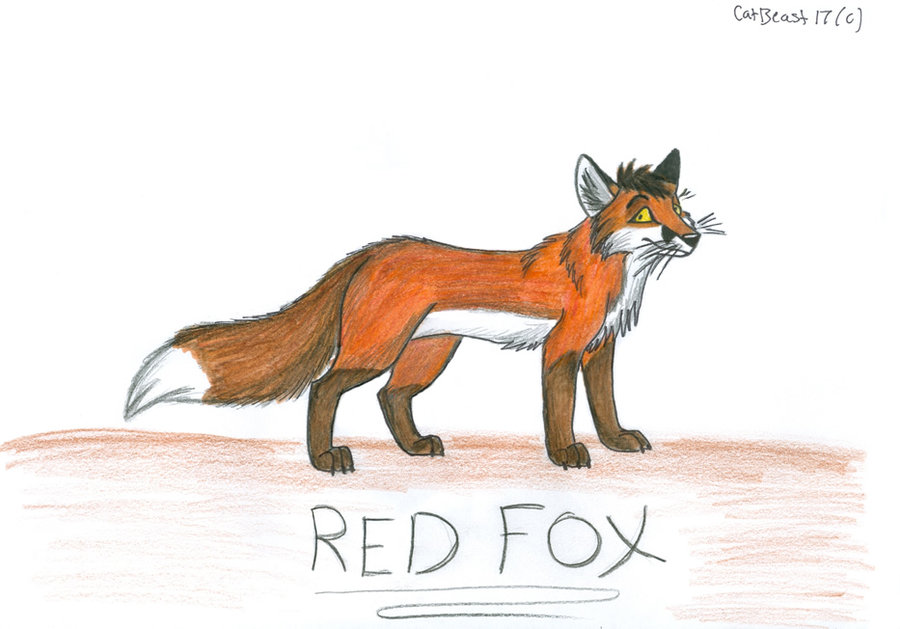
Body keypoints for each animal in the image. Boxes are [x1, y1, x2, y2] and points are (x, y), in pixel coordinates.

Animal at [125, 149, 722, 474]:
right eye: (643, 215)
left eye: (678, 206)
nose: (692, 237)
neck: (605, 273)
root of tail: (371, 251)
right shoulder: (561, 349)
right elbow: (561, 411)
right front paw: (565, 454)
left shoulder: (600, 348)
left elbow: (605, 406)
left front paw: (617, 442)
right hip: (377, 350)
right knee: (324, 388)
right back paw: (325, 459)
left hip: (428, 354)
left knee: (391, 397)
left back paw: (414, 448)